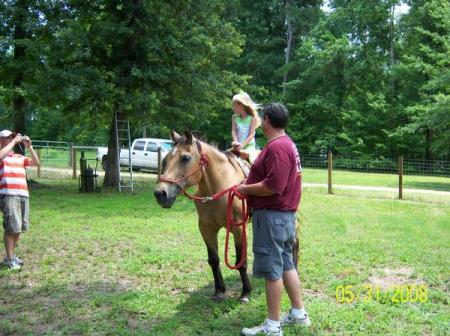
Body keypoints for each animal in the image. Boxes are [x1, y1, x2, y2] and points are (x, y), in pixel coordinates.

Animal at [153, 131, 300, 302]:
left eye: (186, 158)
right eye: (166, 159)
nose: (160, 193)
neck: (218, 188)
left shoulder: (238, 229)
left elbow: (240, 261)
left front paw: (245, 292)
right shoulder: (206, 228)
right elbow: (214, 260)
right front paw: (219, 290)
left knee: (293, 242)